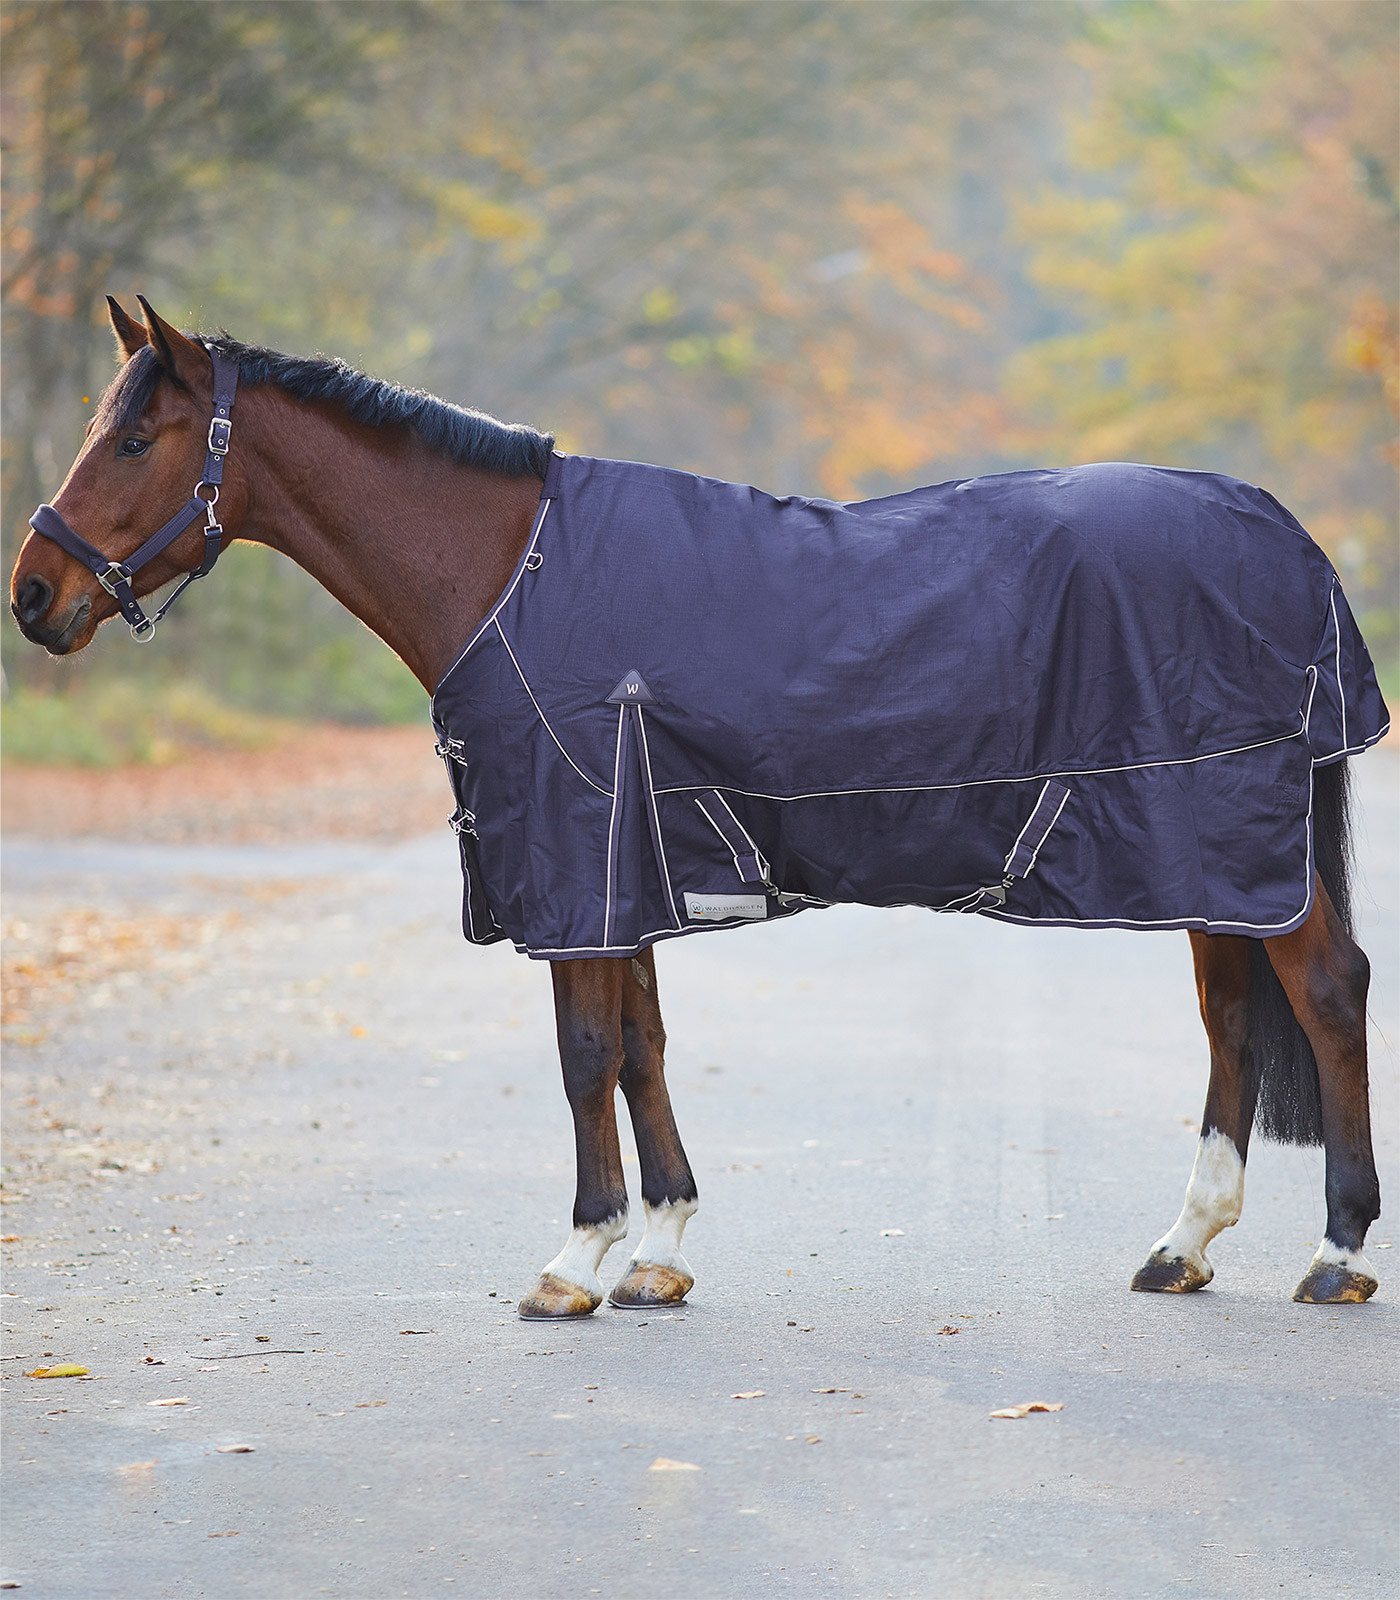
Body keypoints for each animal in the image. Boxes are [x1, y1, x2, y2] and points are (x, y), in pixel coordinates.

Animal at [8, 297, 1388, 1312]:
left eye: (135, 439)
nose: (32, 595)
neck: (514, 574)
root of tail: (1286, 537)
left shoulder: (579, 862)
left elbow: (582, 1054)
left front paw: (574, 1260)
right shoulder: (628, 866)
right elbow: (641, 1045)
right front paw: (659, 1252)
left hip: (1229, 840)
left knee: (1321, 995)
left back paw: (1336, 1254)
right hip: (1207, 855)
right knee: (1228, 1018)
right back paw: (1181, 1245)